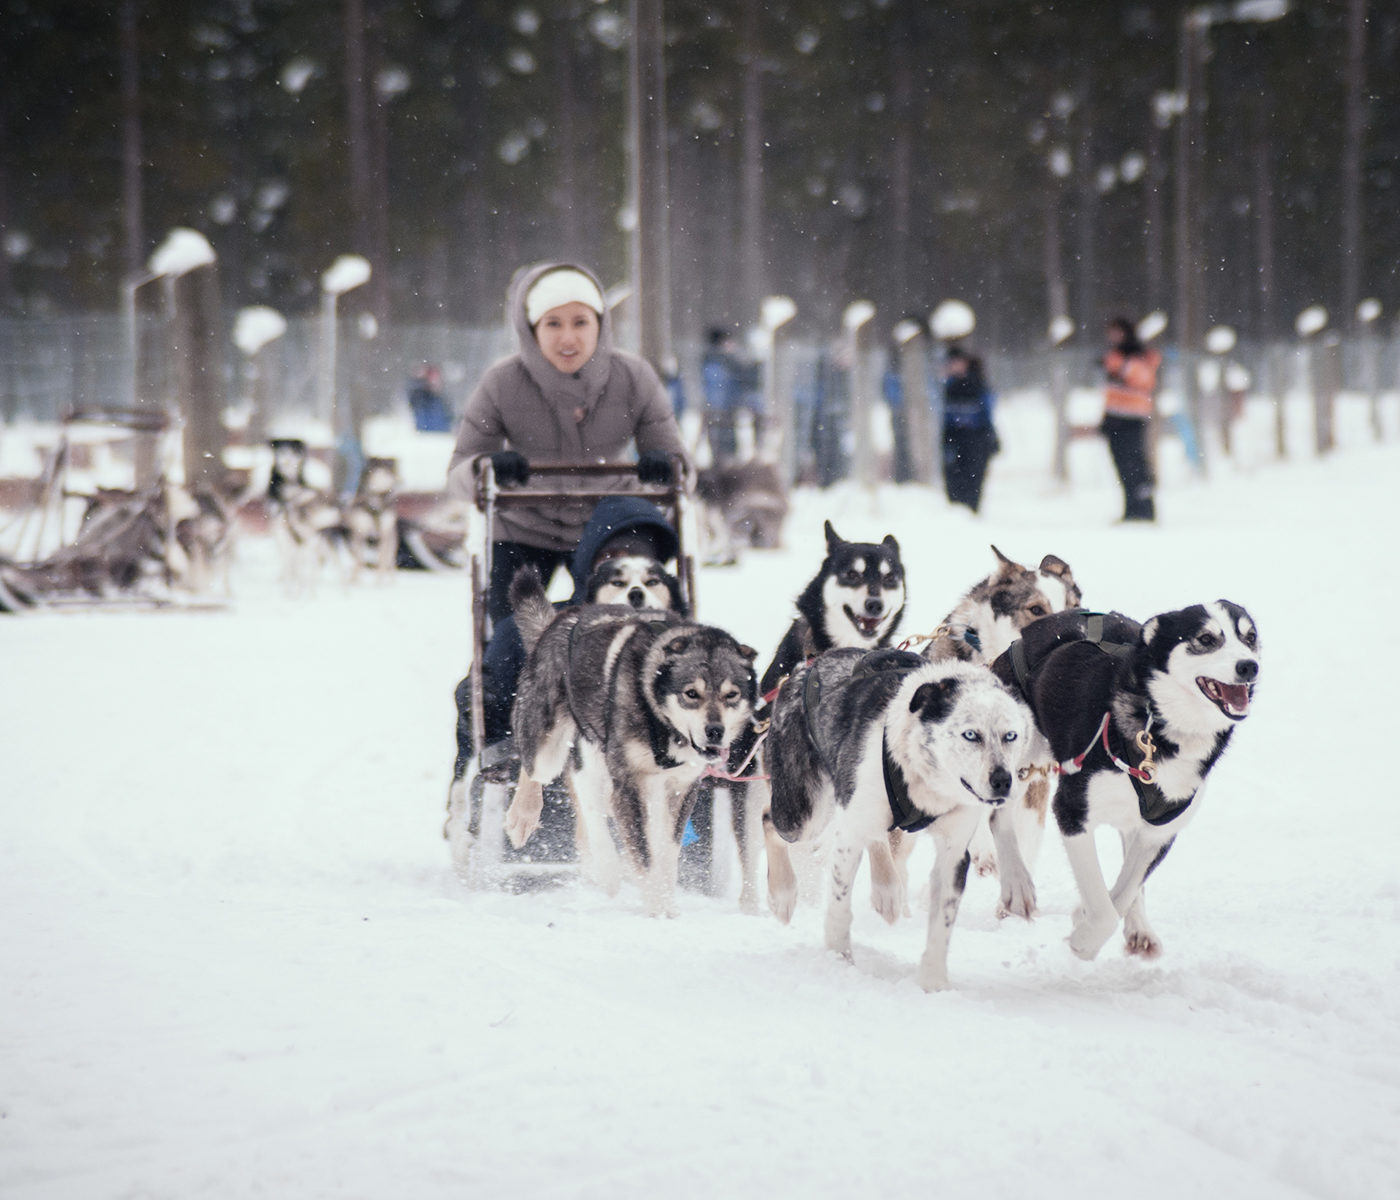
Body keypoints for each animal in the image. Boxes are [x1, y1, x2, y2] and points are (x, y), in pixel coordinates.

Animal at [504, 565, 756, 912]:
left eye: (731, 694)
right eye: (691, 693)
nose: (715, 731)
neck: (660, 721)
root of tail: (565, 616)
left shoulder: (681, 788)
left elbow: (666, 854)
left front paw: (666, 905)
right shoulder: (627, 784)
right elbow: (645, 858)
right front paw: (656, 910)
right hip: (554, 749)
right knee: (544, 776)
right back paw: (525, 817)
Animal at [767, 649, 1030, 985]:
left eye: (1010, 736)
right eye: (971, 735)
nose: (1003, 780)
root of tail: (805, 667)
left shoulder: (954, 851)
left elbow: (942, 924)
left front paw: (933, 982)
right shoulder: (849, 836)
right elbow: (839, 907)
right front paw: (839, 958)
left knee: (878, 837)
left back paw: (886, 890)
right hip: (802, 813)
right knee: (768, 821)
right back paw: (782, 893)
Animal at [991, 604, 1265, 957]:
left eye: (1250, 637)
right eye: (1205, 639)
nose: (1249, 666)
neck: (1162, 730)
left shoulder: (1160, 830)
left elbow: (1124, 891)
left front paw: (1085, 917)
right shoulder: (1072, 811)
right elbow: (1104, 905)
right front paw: (1085, 941)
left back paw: (1139, 928)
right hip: (1019, 755)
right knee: (999, 818)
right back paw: (1017, 886)